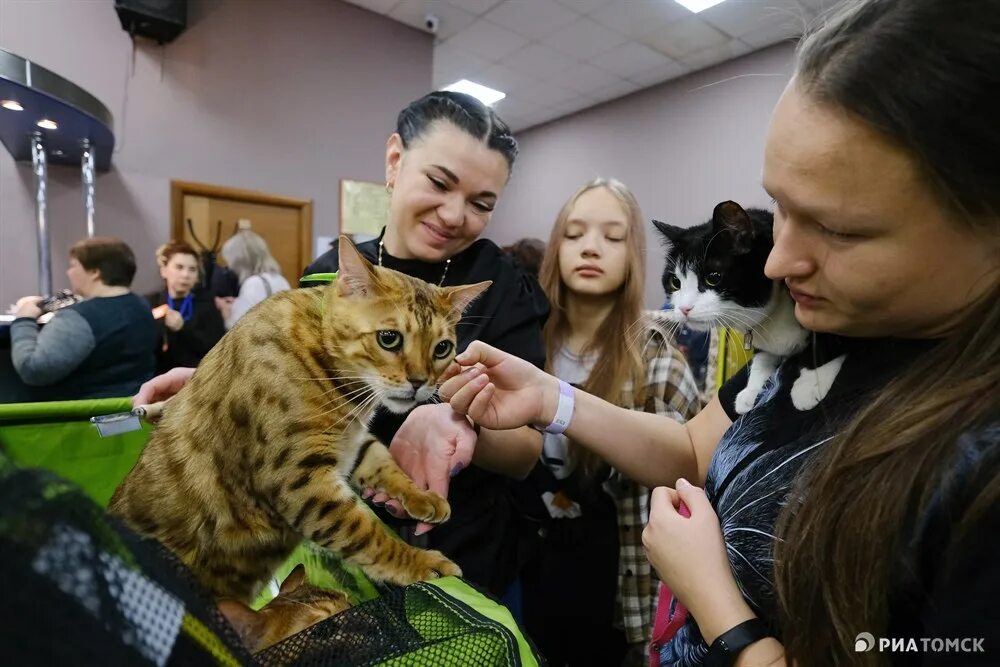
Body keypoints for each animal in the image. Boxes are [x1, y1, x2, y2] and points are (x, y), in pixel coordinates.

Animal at [109, 239, 488, 604]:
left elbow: (385, 463)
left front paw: (421, 496)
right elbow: (369, 536)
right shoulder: (300, 480)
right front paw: (421, 563)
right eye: (389, 338)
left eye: (442, 348)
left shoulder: (351, 446)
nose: (420, 382)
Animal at [652, 201, 840, 414]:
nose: (684, 308)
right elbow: (762, 357)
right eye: (675, 282)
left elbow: (824, 340)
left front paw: (810, 383)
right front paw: (751, 391)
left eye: (713, 277)